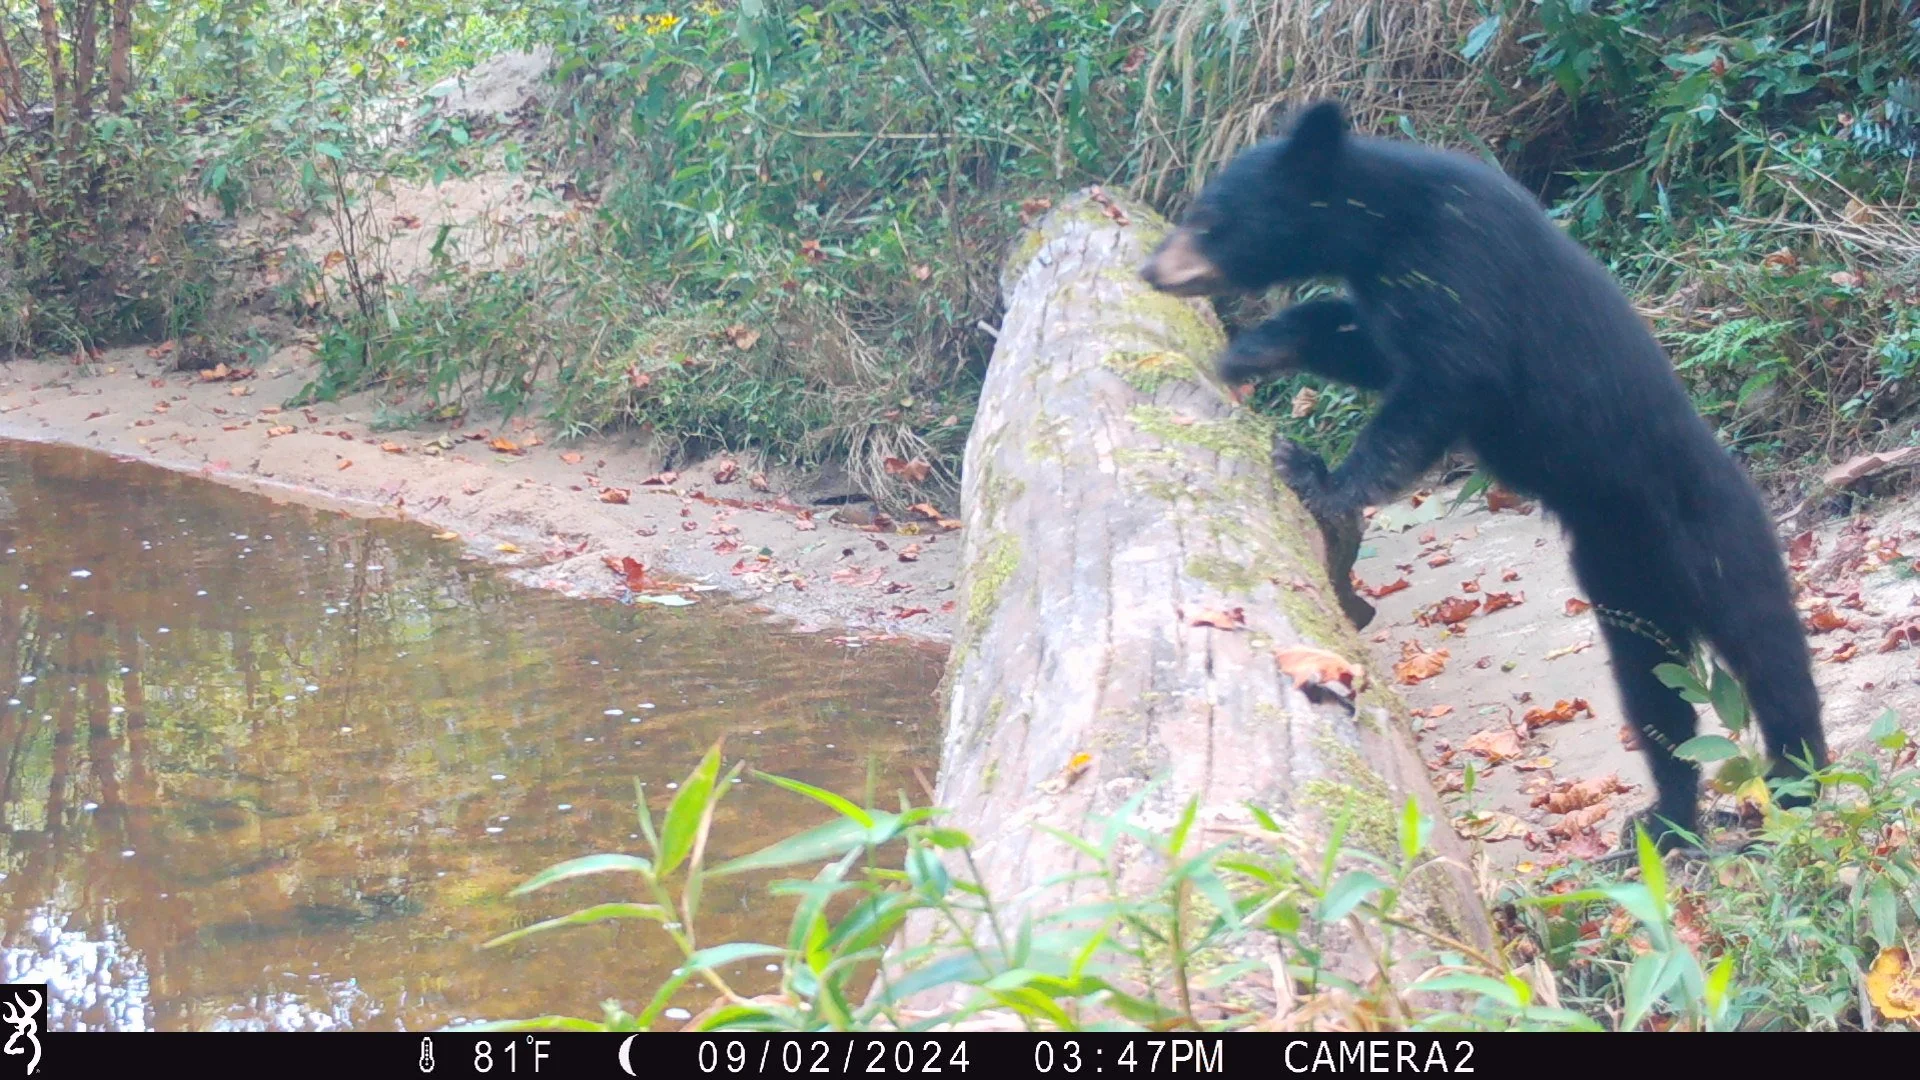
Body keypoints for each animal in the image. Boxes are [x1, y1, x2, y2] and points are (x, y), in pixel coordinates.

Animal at [1138, 100, 1828, 849]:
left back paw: (1798, 786)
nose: (1149, 269)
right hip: (1622, 587)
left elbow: (1443, 384)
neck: (1382, 224)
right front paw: (1253, 350)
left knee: (1770, 657)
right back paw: (1662, 824)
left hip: (1716, 542)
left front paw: (1316, 475)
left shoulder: (1463, 263)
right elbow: (1372, 347)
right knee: (1655, 694)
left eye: (1208, 217)